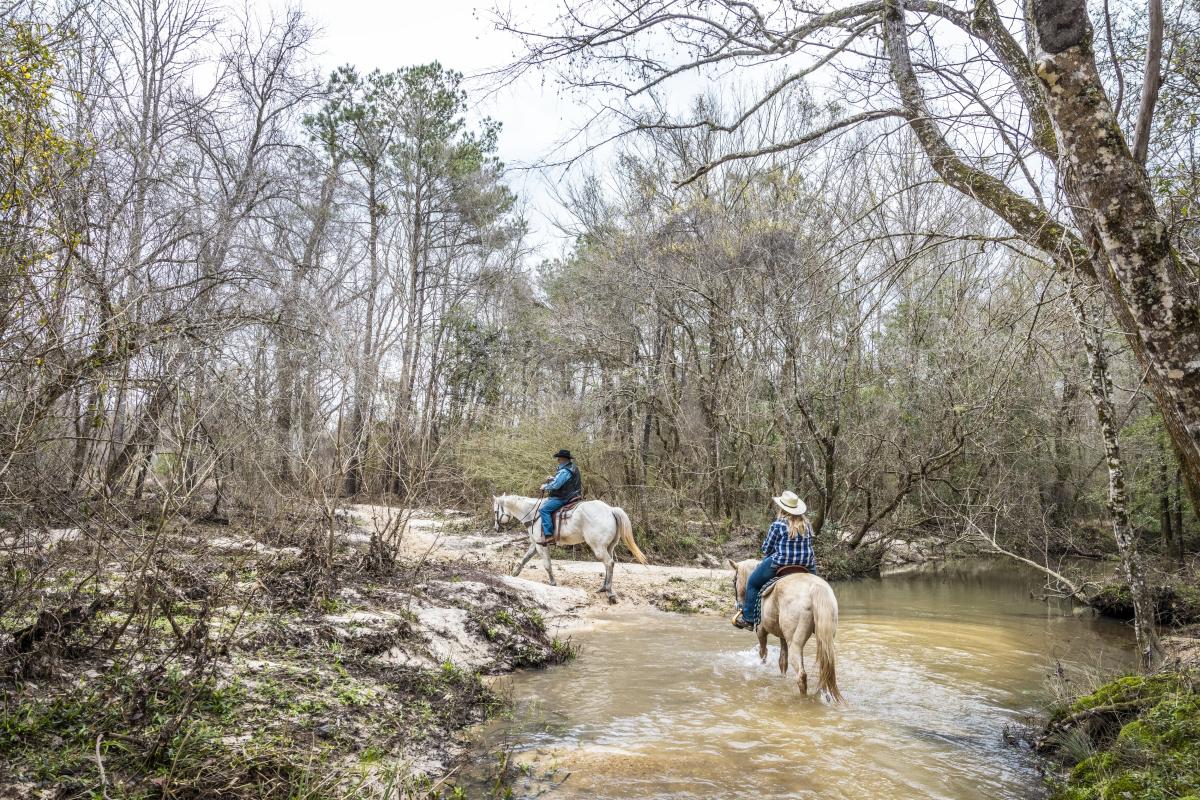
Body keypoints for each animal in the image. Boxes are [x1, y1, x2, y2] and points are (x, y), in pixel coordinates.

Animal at [492, 494, 647, 603]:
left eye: (495, 511)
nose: (495, 528)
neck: (534, 514)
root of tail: (610, 510)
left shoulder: (541, 545)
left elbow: (547, 565)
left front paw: (553, 583)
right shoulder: (535, 545)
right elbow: (525, 558)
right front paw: (514, 573)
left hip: (598, 547)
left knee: (609, 563)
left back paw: (609, 592)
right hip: (608, 547)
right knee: (608, 565)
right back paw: (603, 588)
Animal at [729, 558, 844, 701]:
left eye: (734, 580)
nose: (737, 605)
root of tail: (815, 589)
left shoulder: (761, 631)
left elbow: (763, 654)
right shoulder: (782, 636)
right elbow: (782, 661)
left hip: (795, 643)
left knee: (801, 675)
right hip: (826, 640)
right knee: (823, 669)